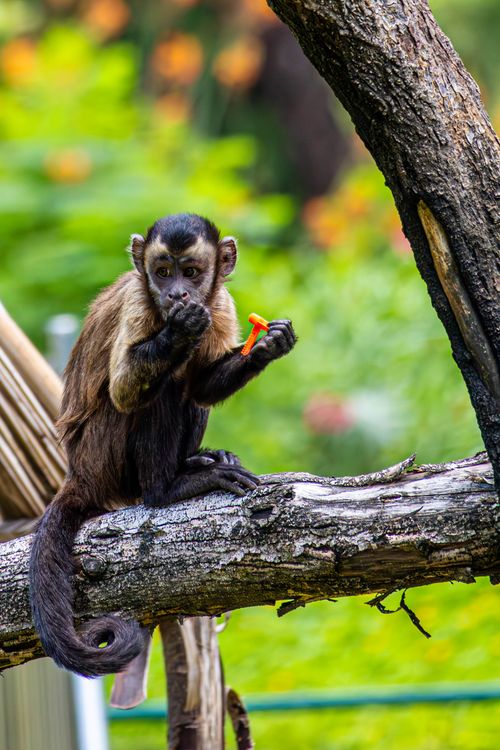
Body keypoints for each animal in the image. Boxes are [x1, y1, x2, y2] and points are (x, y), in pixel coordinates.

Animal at [29, 213, 297, 678]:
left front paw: (267, 344)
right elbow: (125, 392)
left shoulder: (220, 302)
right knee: (167, 386)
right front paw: (180, 329)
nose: (177, 294)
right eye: (162, 272)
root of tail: (79, 471)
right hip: (105, 457)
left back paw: (193, 463)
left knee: (187, 386)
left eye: (190, 271)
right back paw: (166, 489)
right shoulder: (138, 301)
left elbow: (202, 386)